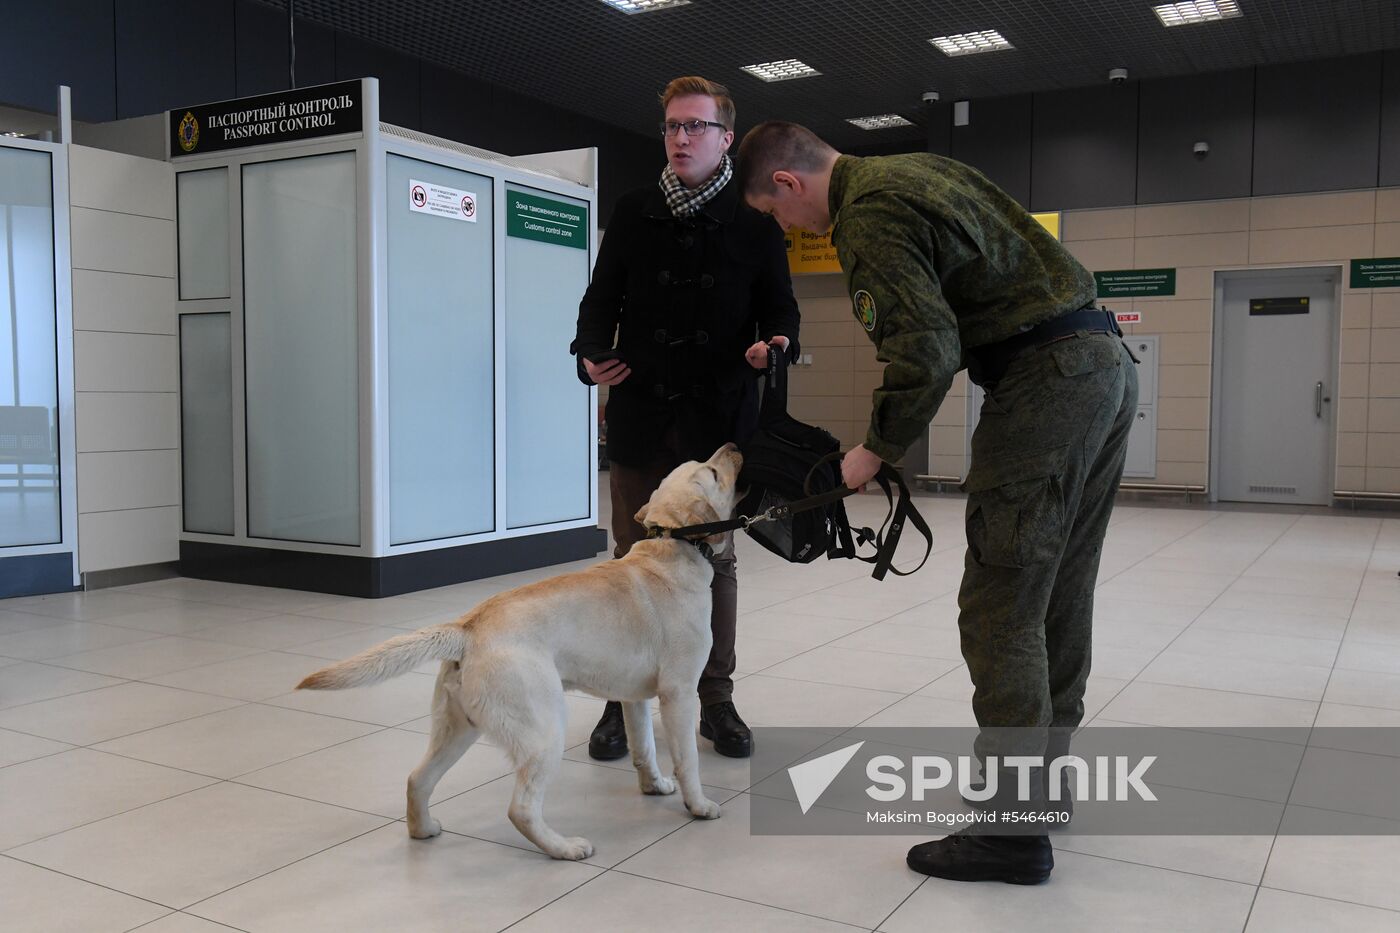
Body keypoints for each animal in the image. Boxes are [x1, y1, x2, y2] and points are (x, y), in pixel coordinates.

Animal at [296, 442, 744, 857]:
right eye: (712, 472)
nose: (734, 446)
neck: (672, 548)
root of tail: (467, 628)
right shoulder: (678, 694)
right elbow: (687, 760)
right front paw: (699, 805)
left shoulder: (633, 698)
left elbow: (645, 749)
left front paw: (654, 785)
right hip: (544, 731)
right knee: (521, 809)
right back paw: (564, 848)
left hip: (457, 728)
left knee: (416, 779)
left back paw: (423, 830)